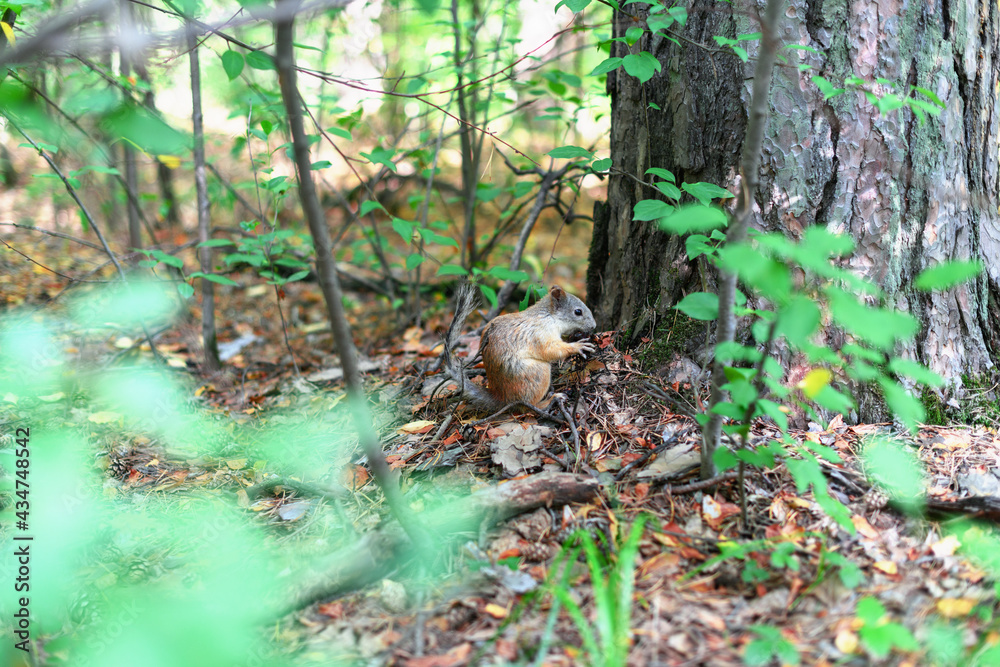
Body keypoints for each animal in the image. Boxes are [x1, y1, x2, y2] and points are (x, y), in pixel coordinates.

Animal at [442, 284, 596, 412]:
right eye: (578, 312)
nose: (594, 326)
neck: (549, 316)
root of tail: (504, 398)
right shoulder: (540, 334)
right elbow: (551, 350)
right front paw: (578, 346)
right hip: (538, 373)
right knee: (528, 406)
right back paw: (550, 400)